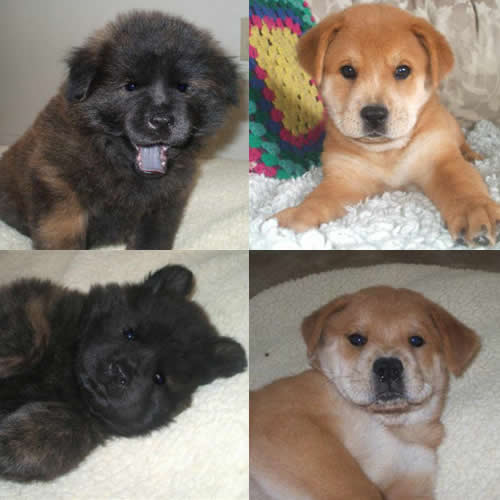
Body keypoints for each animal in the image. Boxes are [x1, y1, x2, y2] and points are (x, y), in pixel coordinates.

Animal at [0, 11, 238, 249]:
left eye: (183, 87)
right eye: (130, 86)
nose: (161, 120)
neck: (114, 160)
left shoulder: (165, 202)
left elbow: (152, 241)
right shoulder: (57, 186)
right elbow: (62, 234)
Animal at [0, 265, 247, 481]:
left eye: (159, 378)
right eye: (130, 334)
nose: (121, 371)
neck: (70, 381)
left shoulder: (85, 422)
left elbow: (57, 433)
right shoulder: (36, 304)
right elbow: (28, 336)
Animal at [250, 286, 479, 499]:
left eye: (416, 340)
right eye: (357, 339)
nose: (388, 368)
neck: (390, 427)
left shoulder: (412, 473)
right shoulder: (291, 423)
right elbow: (359, 488)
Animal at [274, 4, 500, 246]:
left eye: (402, 70)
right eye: (347, 70)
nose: (374, 114)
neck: (386, 152)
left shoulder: (439, 159)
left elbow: (462, 185)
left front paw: (475, 212)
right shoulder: (344, 179)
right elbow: (318, 199)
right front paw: (293, 218)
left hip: (451, 128)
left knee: (462, 143)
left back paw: (472, 155)